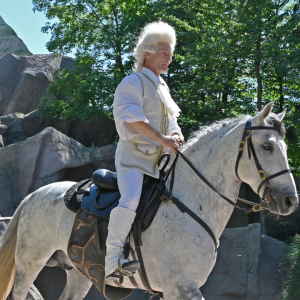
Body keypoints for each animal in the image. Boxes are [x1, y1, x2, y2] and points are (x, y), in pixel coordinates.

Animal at [0, 103, 296, 300]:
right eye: (267, 146)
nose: (290, 200)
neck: (188, 202)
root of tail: (33, 195)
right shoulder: (182, 287)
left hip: (78, 273)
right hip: (30, 263)